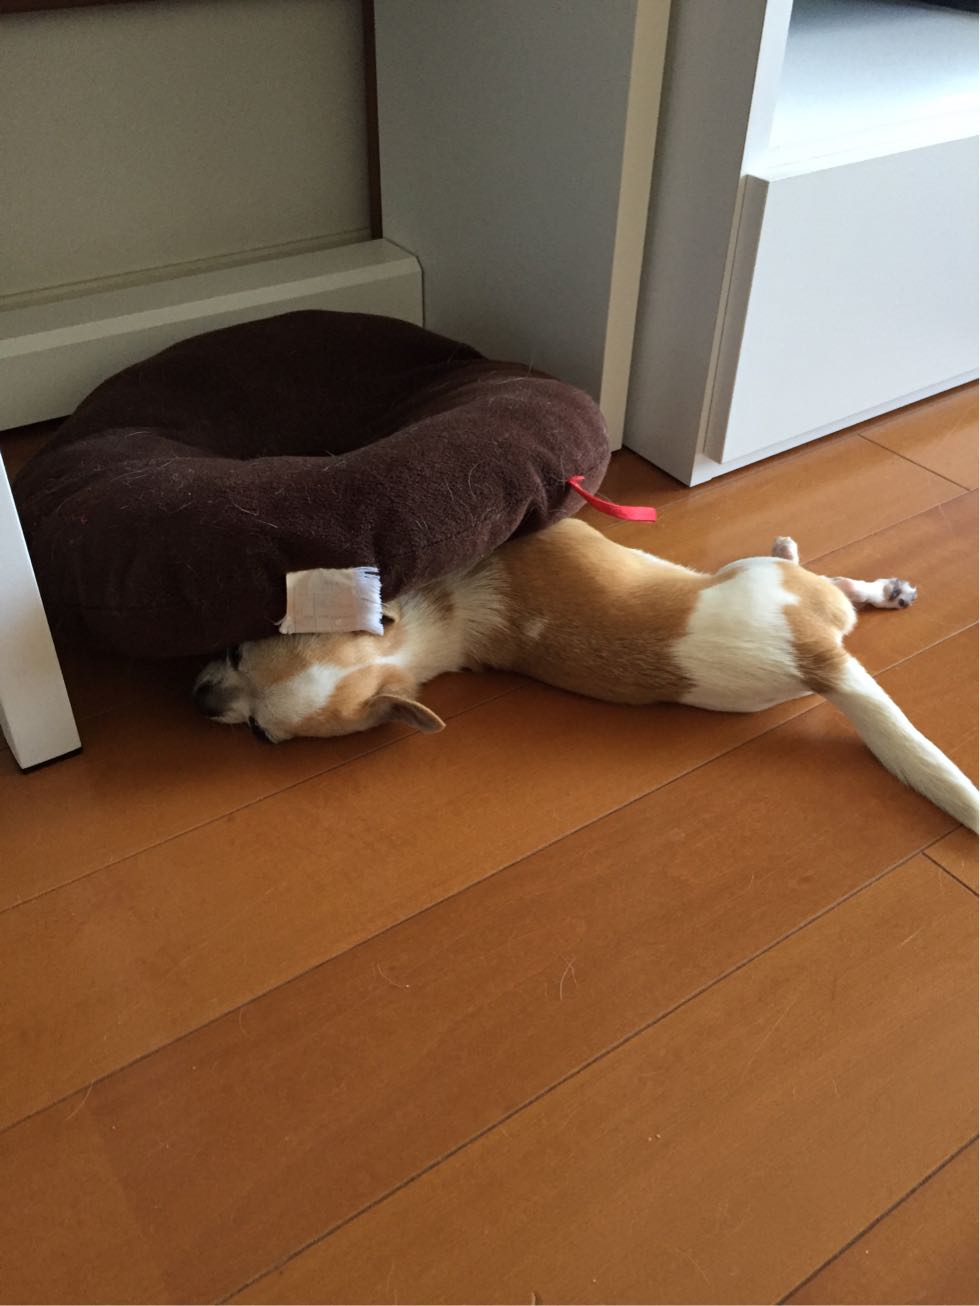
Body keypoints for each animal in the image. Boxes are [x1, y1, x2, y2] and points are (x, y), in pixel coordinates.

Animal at [194, 518, 979, 832]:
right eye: (257, 736)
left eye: (234, 651)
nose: (198, 701)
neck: (420, 632)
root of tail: (816, 662)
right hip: (768, 583)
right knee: (833, 586)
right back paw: (855, 578)